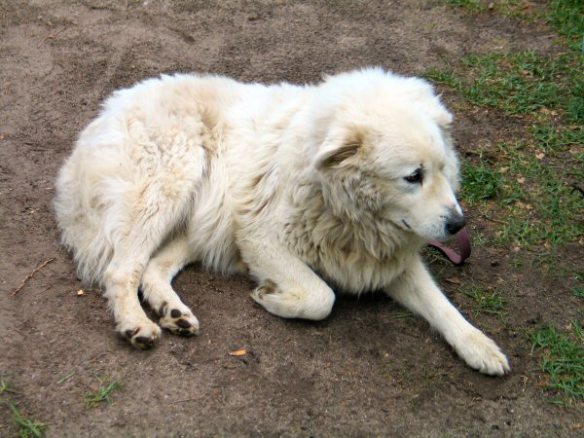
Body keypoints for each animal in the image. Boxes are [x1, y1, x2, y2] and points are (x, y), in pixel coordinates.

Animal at [56, 66, 512, 374]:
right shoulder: (259, 238)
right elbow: (321, 297)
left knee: (152, 268)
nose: (458, 225)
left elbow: (441, 304)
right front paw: (271, 297)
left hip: (202, 222)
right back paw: (136, 324)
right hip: (167, 189)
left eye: (442, 169)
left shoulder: (386, 259)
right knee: (121, 270)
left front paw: (480, 346)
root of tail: (106, 114)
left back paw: (173, 314)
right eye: (412, 176)